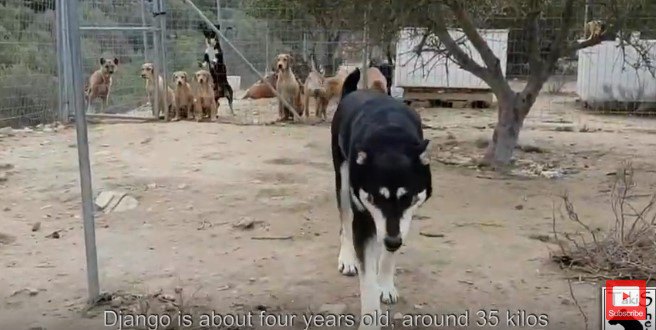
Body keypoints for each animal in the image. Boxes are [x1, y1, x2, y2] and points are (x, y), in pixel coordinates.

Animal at [330, 68, 434, 328]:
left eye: (407, 199)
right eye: (375, 199)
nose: (392, 241)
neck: (390, 138)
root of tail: (353, 92)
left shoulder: (404, 219)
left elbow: (388, 256)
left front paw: (385, 285)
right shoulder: (364, 217)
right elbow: (367, 281)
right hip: (343, 182)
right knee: (345, 222)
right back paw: (347, 258)